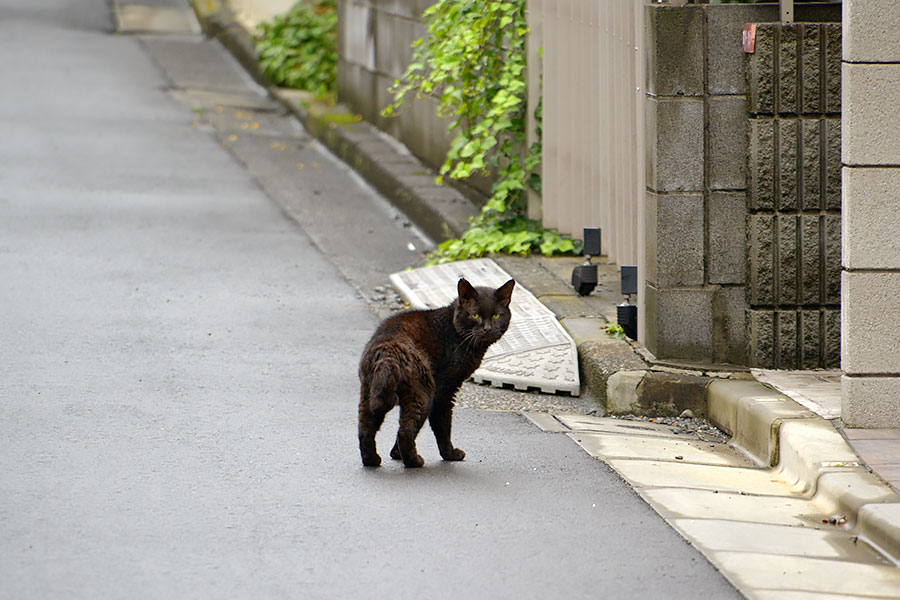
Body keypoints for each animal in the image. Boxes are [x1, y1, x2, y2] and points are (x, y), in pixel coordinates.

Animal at [356, 278, 512, 468]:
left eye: (496, 316)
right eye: (475, 315)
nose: (487, 328)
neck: (455, 331)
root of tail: (388, 349)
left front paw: (395, 454)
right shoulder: (444, 390)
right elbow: (443, 425)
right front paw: (450, 454)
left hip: (369, 393)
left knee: (366, 428)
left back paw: (371, 460)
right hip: (423, 394)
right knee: (405, 431)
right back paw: (414, 461)